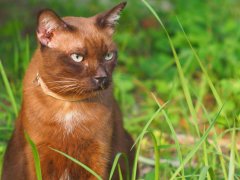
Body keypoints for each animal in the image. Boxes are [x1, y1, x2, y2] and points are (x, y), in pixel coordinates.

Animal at [1, 1, 136, 180]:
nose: (102, 77)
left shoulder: (98, 155)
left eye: (108, 56)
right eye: (77, 57)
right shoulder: (39, 153)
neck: (69, 104)